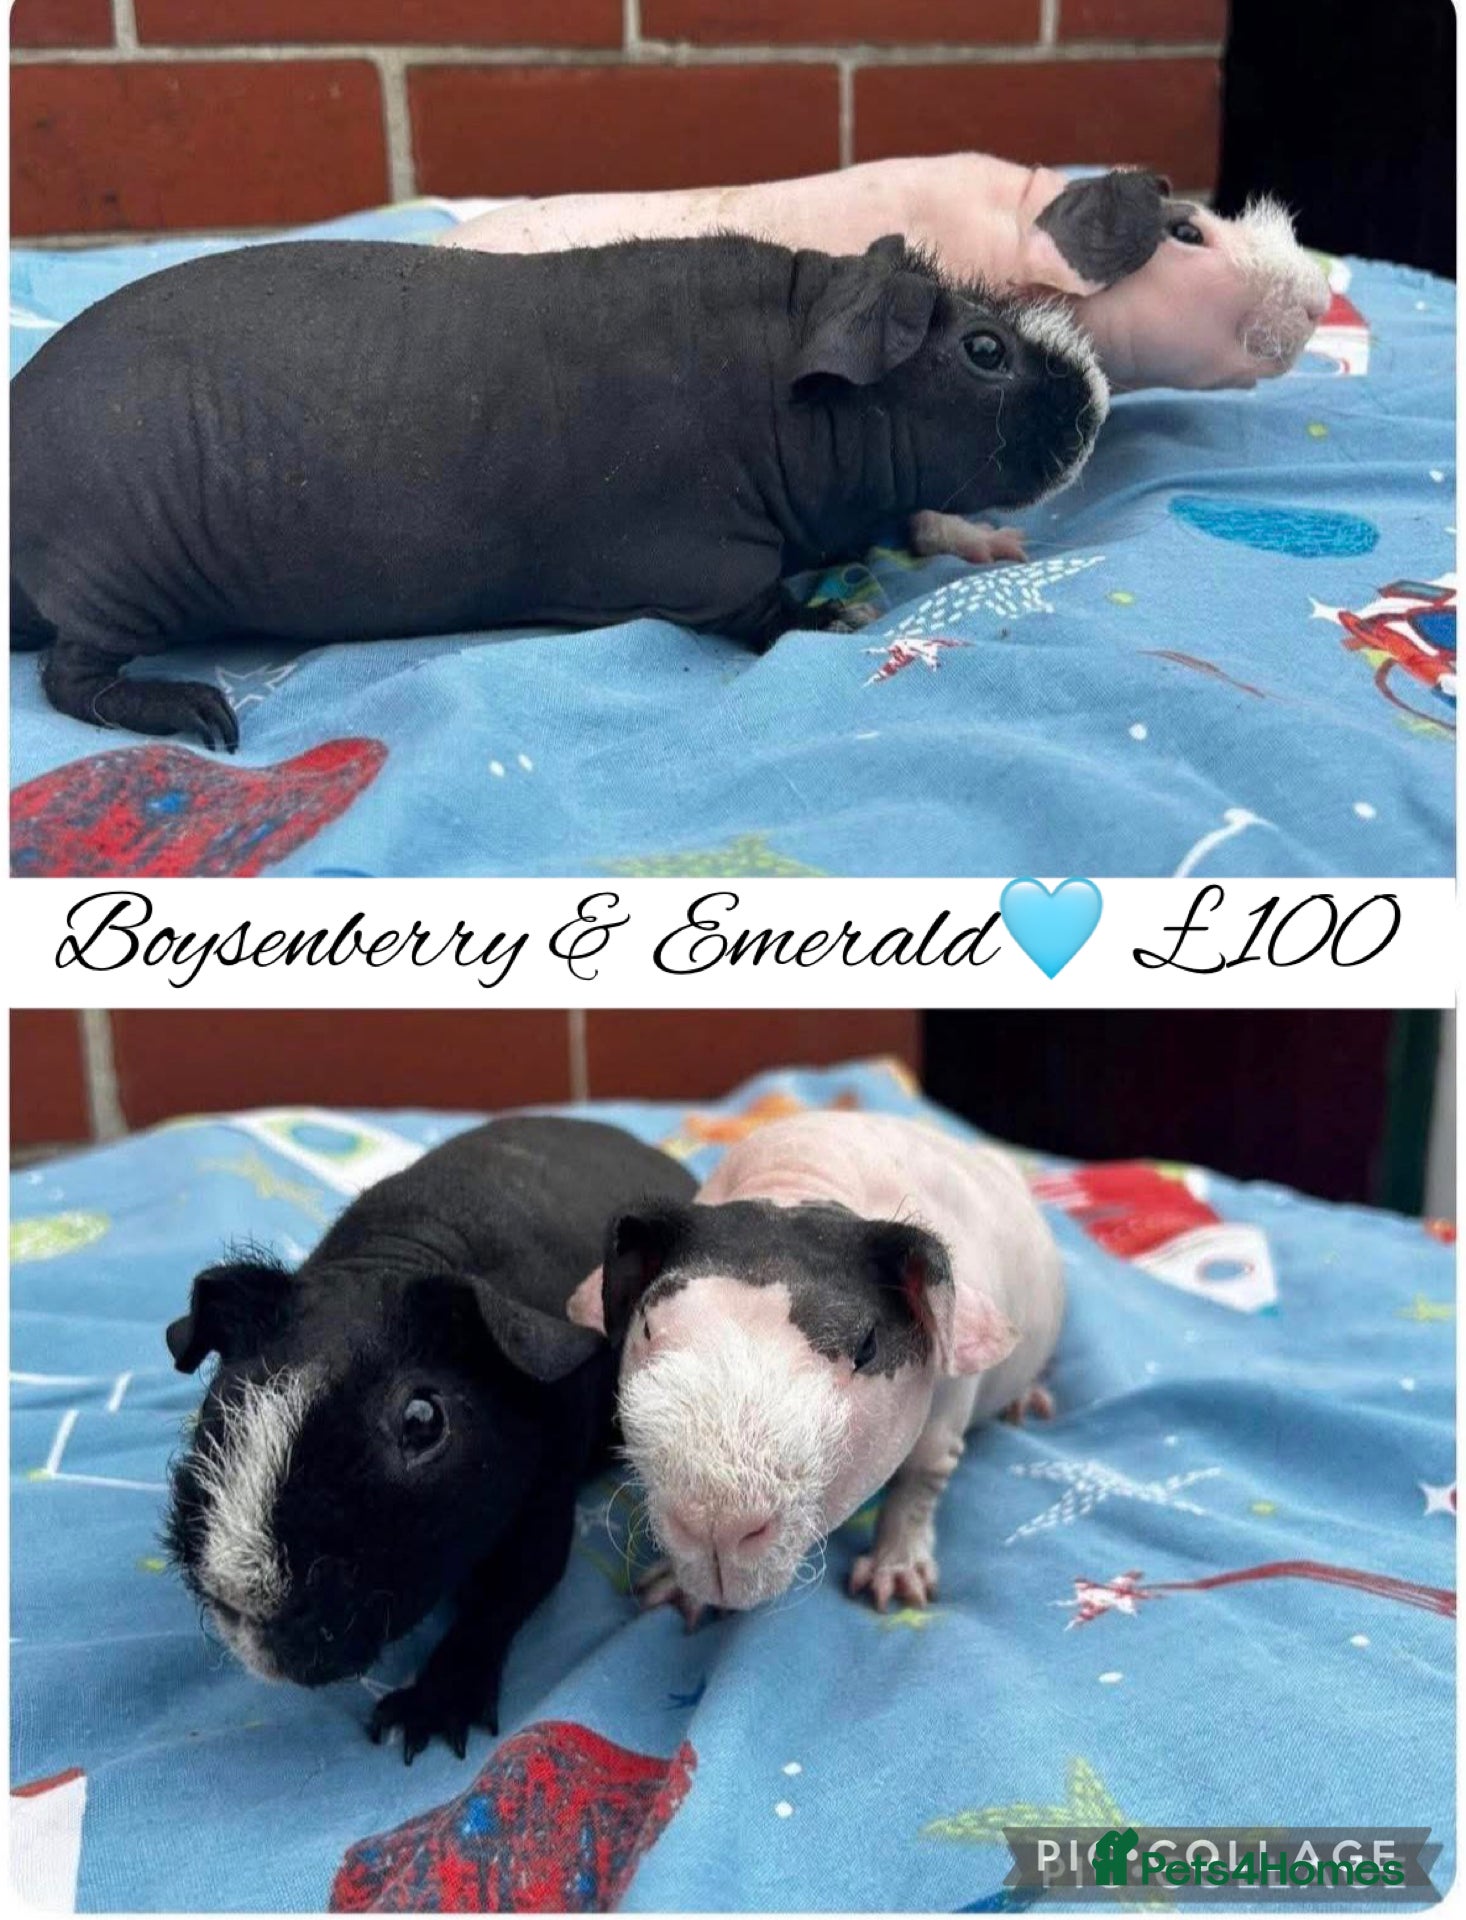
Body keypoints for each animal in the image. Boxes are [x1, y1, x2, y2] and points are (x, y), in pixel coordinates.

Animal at [11, 231, 1105, 748]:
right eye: (983, 351)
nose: (1097, 403)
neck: (778, 393)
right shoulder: (702, 570)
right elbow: (765, 611)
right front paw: (843, 619)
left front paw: (995, 549)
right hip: (117, 581)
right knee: (70, 678)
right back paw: (201, 714)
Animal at [568, 1111, 1065, 1619]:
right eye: (647, 1328)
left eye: (866, 1347)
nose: (716, 1527)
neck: (796, 1183)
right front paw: (674, 1589)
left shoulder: (947, 1414)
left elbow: (921, 1480)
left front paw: (895, 1580)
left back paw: (1027, 1403)